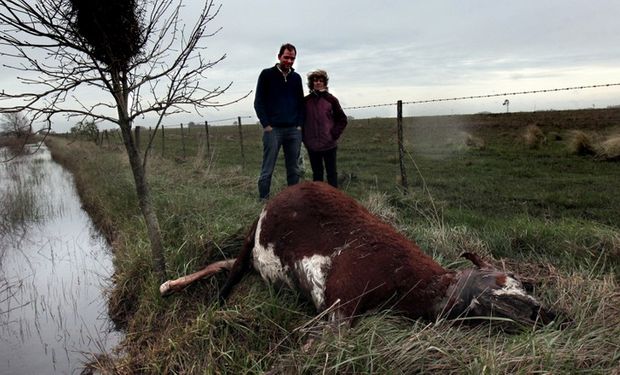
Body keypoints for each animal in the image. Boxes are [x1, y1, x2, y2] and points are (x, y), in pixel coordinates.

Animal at [160, 181, 556, 326]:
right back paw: (205, 300)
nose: (547, 312)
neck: (407, 282)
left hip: (258, 261)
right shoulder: (340, 303)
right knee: (232, 271)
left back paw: (169, 285)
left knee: (226, 264)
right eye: (505, 278)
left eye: (527, 283)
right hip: (251, 240)